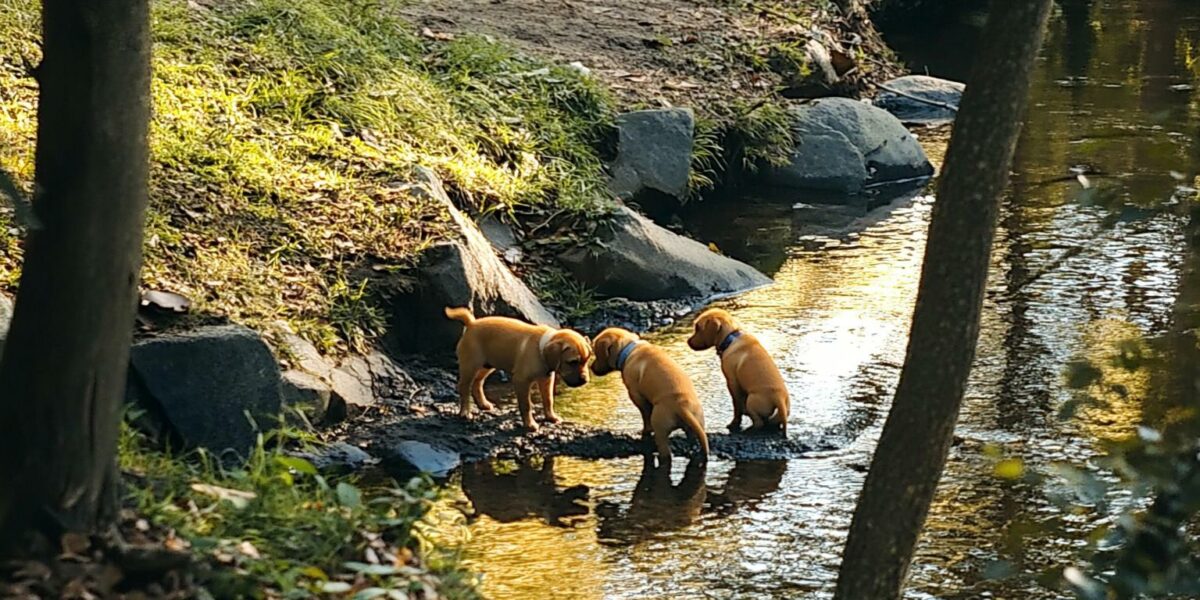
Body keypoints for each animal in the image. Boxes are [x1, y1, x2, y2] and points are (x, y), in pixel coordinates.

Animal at [444, 304, 592, 432]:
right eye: (572, 362)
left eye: (586, 360)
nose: (585, 381)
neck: (541, 349)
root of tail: (471, 324)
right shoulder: (521, 381)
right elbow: (526, 405)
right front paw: (530, 424)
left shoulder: (546, 380)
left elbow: (548, 400)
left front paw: (551, 417)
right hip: (470, 365)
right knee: (464, 386)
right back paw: (465, 412)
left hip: (488, 364)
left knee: (478, 383)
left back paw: (483, 404)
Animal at [592, 328, 705, 463]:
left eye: (596, 353)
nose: (591, 368)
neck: (629, 349)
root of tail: (681, 406)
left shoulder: (636, 395)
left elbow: (645, 415)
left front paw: (646, 430)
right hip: (697, 426)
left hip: (661, 430)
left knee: (665, 452)